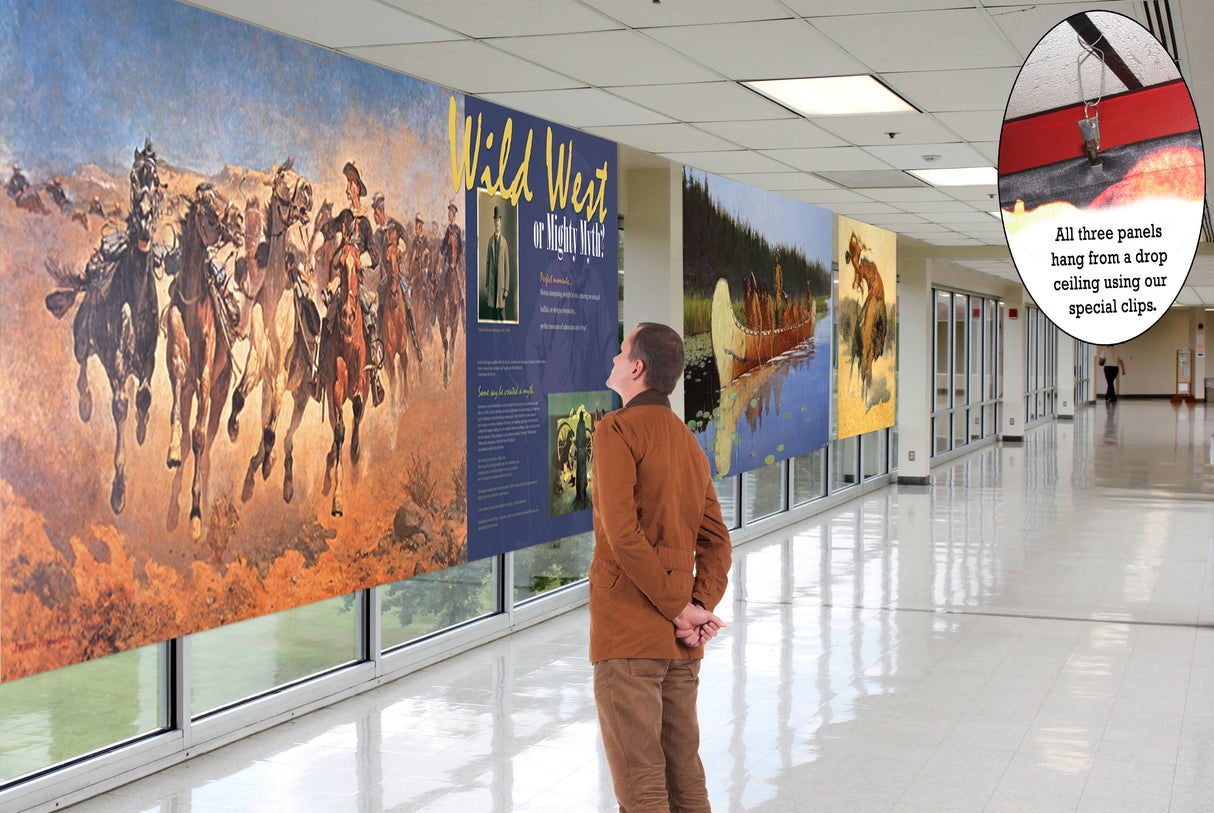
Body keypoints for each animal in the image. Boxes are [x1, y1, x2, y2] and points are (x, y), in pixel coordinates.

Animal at [44, 137, 166, 512]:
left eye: (157, 180)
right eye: (132, 178)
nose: (144, 225)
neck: (134, 296)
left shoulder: (149, 358)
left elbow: (144, 396)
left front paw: (142, 430)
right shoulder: (116, 365)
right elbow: (121, 405)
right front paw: (118, 491)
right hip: (81, 341)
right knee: (82, 370)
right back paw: (84, 406)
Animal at [227, 160, 315, 507]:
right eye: (281, 178)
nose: (308, 192)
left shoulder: (278, 375)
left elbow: (271, 433)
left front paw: (267, 466)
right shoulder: (256, 364)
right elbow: (239, 396)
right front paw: (233, 429)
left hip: (301, 395)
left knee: (287, 437)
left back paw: (283, 481)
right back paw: (253, 476)